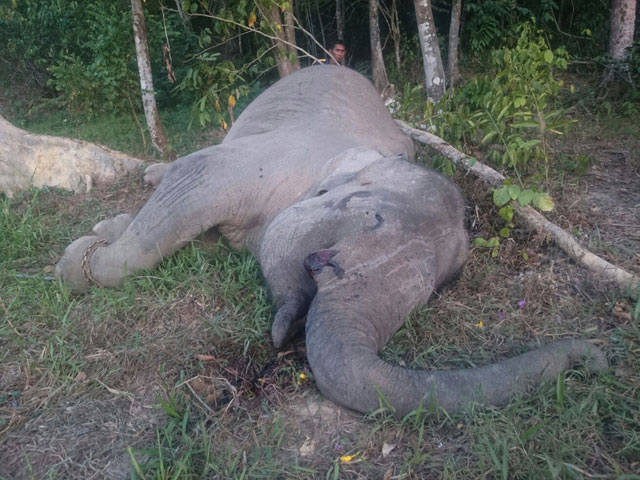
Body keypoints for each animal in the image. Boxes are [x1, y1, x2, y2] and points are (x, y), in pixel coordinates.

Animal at [56, 66, 604, 416]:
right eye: (373, 219)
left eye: (433, 290)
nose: (597, 356)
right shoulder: (262, 162)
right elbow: (196, 180)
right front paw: (76, 261)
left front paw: (102, 234)